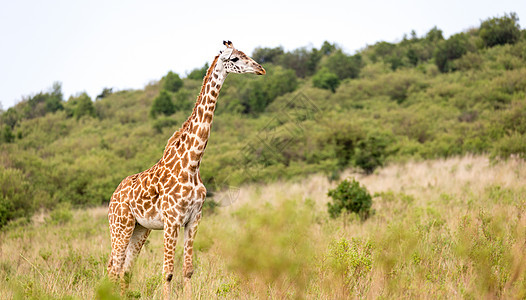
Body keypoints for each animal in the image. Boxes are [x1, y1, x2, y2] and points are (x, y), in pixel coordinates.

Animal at [107, 40, 266, 300]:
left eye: (246, 54)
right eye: (234, 59)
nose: (261, 69)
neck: (193, 163)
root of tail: (112, 197)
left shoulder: (194, 219)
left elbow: (188, 269)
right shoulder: (172, 220)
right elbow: (167, 272)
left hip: (140, 229)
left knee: (124, 271)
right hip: (120, 225)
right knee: (113, 267)